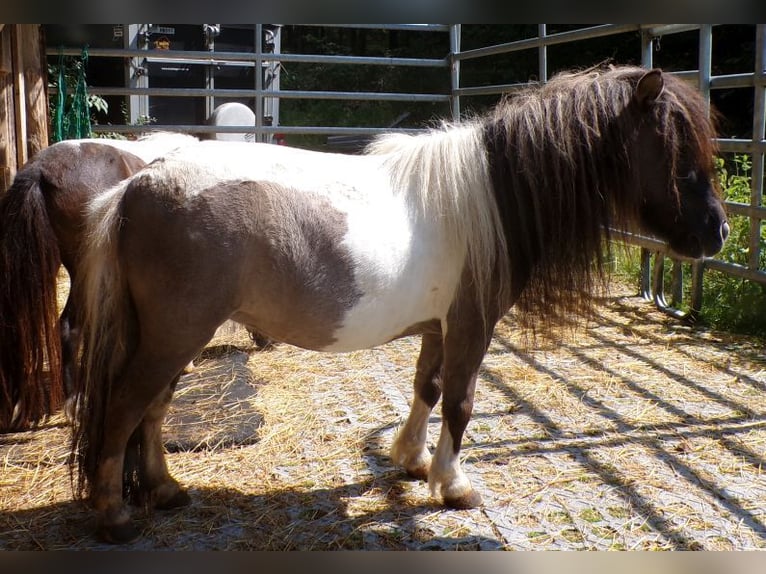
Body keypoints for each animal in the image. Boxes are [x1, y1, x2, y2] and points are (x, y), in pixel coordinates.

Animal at [71, 66, 729, 543]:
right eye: (673, 150)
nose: (718, 232)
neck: (492, 197)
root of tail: (138, 182)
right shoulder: (471, 326)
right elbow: (461, 403)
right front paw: (454, 486)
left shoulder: (438, 327)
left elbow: (427, 389)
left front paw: (411, 460)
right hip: (175, 333)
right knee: (125, 407)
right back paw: (113, 517)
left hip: (171, 336)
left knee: (152, 409)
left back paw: (164, 491)